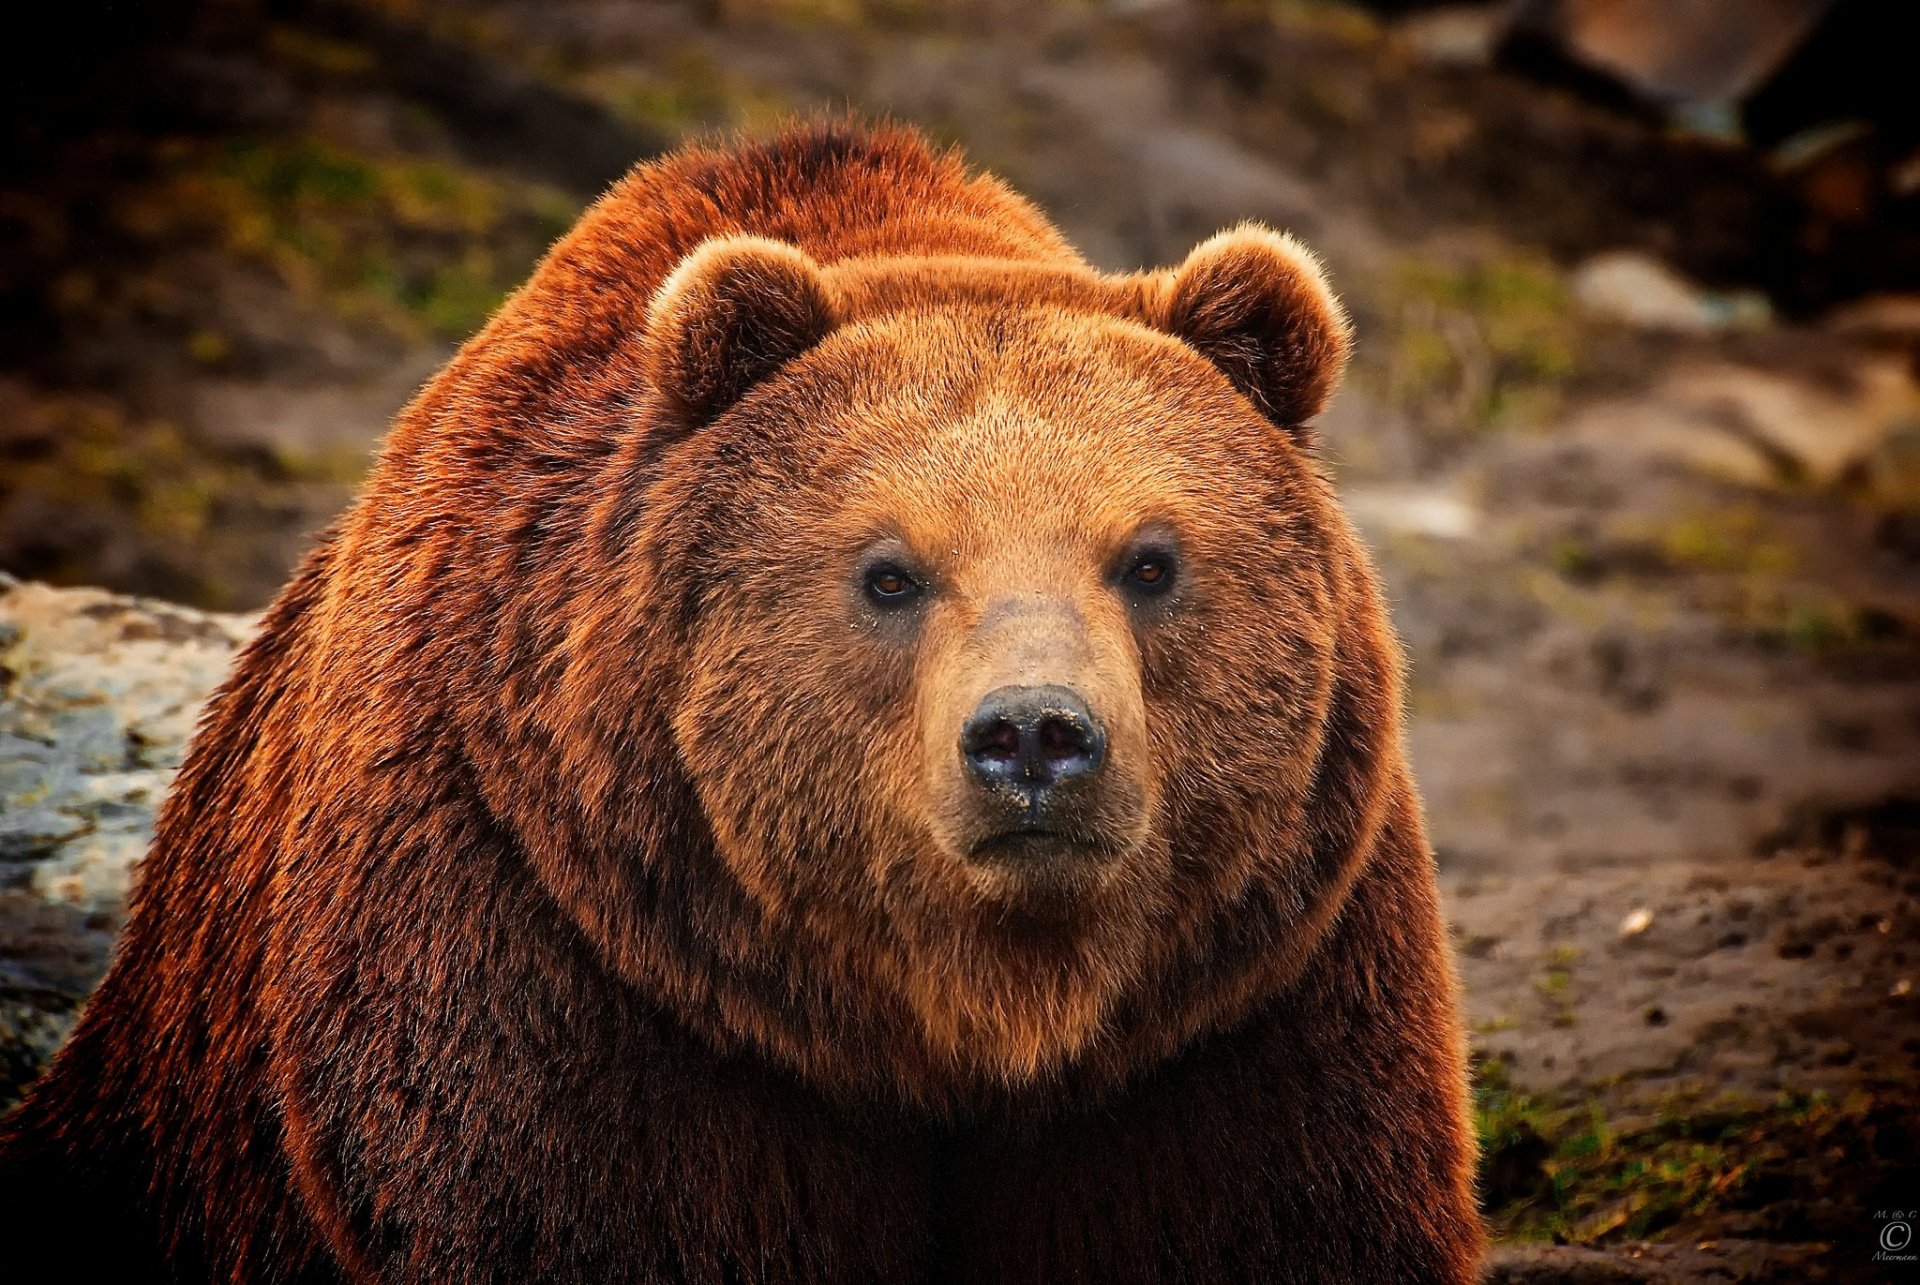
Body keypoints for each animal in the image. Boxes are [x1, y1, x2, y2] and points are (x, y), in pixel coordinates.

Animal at [0, 122, 1482, 1283]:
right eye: (889, 571)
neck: (963, 1016)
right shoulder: (559, 957)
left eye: (1153, 558)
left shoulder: (1240, 998)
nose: (1035, 739)